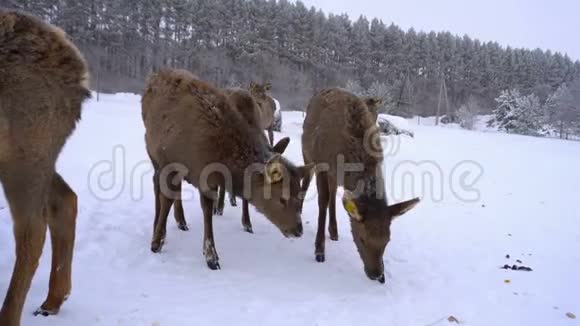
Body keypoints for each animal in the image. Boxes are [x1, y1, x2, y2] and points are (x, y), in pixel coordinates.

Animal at [142, 69, 312, 270]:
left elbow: (207, 207)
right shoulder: (170, 161)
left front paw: (212, 253)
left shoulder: (207, 178)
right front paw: (158, 242)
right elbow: (170, 199)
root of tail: (155, 76)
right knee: (156, 184)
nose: (298, 230)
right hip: (152, 150)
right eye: (282, 198)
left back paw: (181, 221)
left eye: (300, 196)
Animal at [302, 88, 420, 284]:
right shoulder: (322, 166)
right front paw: (319, 251)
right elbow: (322, 203)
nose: (378, 274)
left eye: (387, 240)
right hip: (307, 155)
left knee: (333, 195)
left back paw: (334, 231)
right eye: (362, 239)